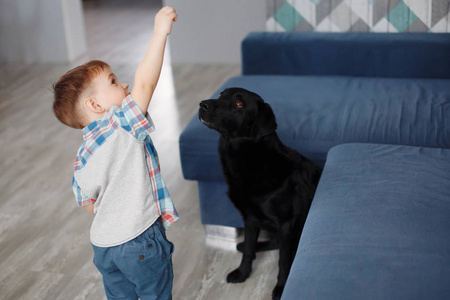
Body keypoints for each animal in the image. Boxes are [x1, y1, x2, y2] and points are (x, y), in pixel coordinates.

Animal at [199, 88, 322, 298]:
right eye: (221, 95)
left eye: (239, 104)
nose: (202, 104)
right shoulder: (250, 217)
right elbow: (249, 247)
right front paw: (242, 273)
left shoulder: (286, 224)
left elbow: (283, 261)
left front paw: (281, 288)